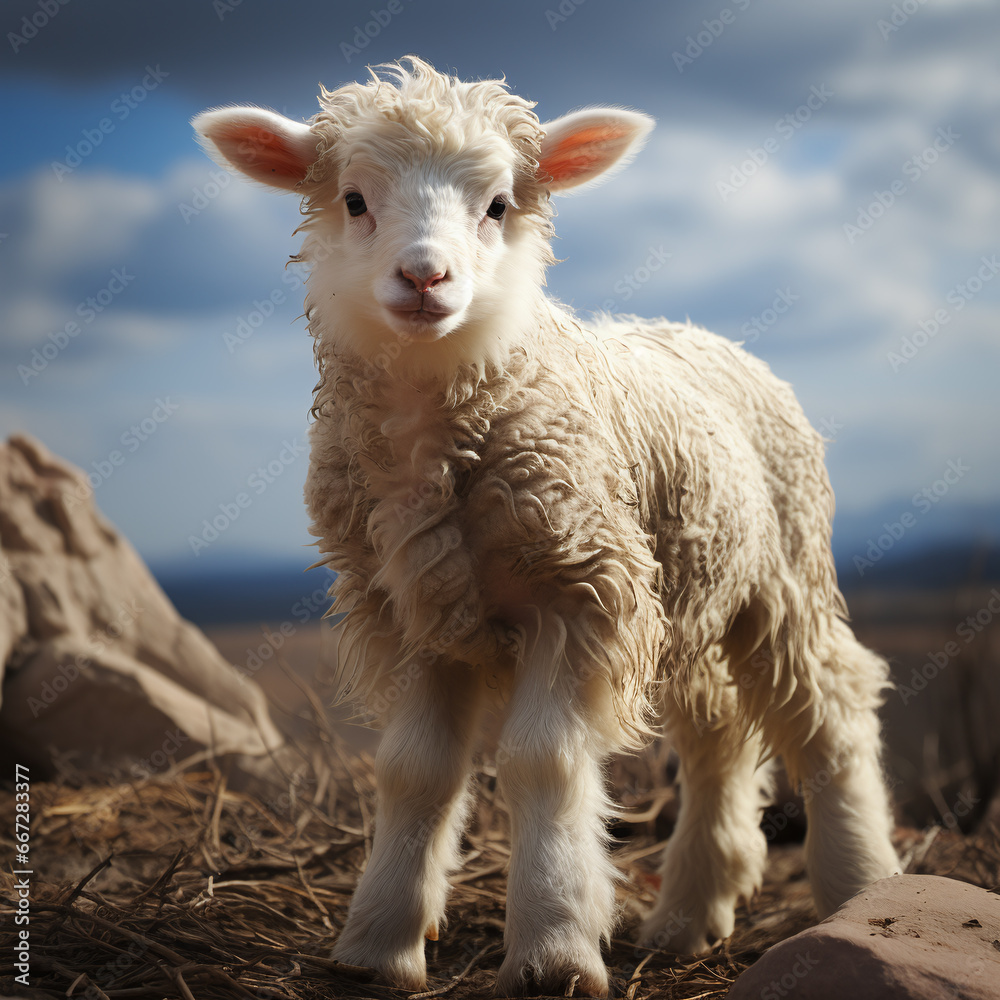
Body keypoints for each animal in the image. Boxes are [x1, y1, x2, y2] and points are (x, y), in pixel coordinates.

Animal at [193, 56, 900, 997]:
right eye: (353, 200)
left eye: (498, 205)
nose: (425, 278)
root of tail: (707, 336)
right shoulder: (413, 608)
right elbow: (415, 770)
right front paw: (379, 946)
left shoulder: (579, 588)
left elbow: (542, 761)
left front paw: (555, 949)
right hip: (689, 584)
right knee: (715, 734)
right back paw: (688, 916)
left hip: (784, 571)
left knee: (832, 711)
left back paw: (860, 888)